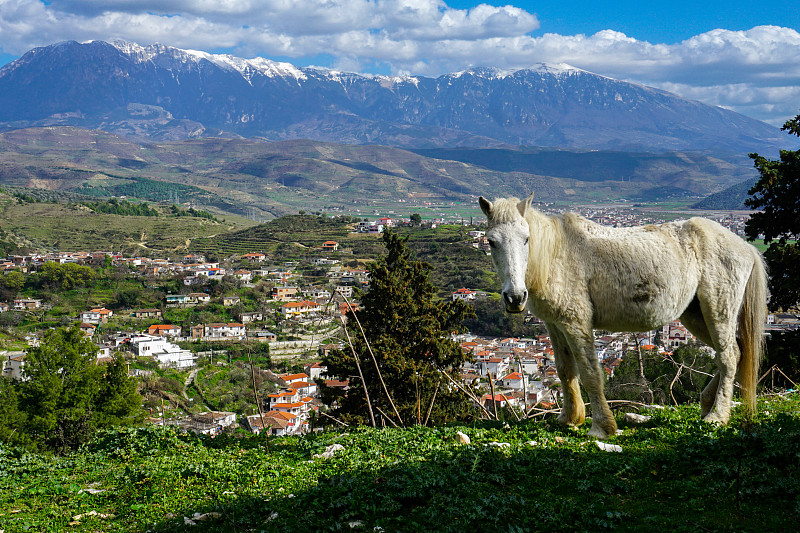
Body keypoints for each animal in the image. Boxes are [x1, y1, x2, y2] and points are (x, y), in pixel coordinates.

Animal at [478, 194, 764, 436]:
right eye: (491, 241)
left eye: (526, 238)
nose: (515, 298)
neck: (556, 255)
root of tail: (746, 247)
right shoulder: (555, 324)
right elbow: (564, 370)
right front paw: (569, 418)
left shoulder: (576, 322)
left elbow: (590, 372)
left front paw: (601, 427)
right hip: (695, 315)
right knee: (735, 352)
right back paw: (706, 404)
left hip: (718, 310)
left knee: (728, 357)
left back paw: (717, 416)